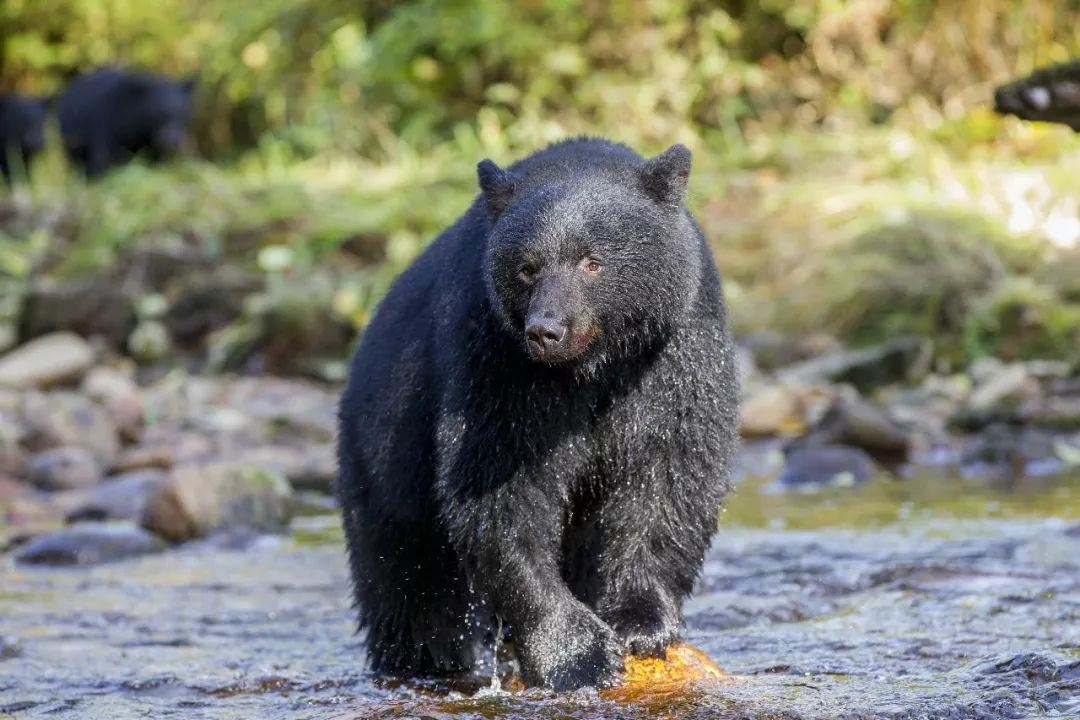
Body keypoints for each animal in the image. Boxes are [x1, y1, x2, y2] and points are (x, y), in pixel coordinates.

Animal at [58, 67, 196, 177]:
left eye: (183, 114)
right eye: (160, 112)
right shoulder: (105, 124)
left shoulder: (151, 141)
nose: (174, 142)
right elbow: (103, 159)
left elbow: (155, 160)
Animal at [336, 136, 743, 690]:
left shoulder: (675, 350)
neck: (591, 368)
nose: (545, 331)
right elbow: (501, 488)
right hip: (385, 466)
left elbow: (669, 470)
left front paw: (640, 623)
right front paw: (576, 654)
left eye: (592, 261)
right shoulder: (496, 361)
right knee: (414, 595)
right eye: (526, 267)